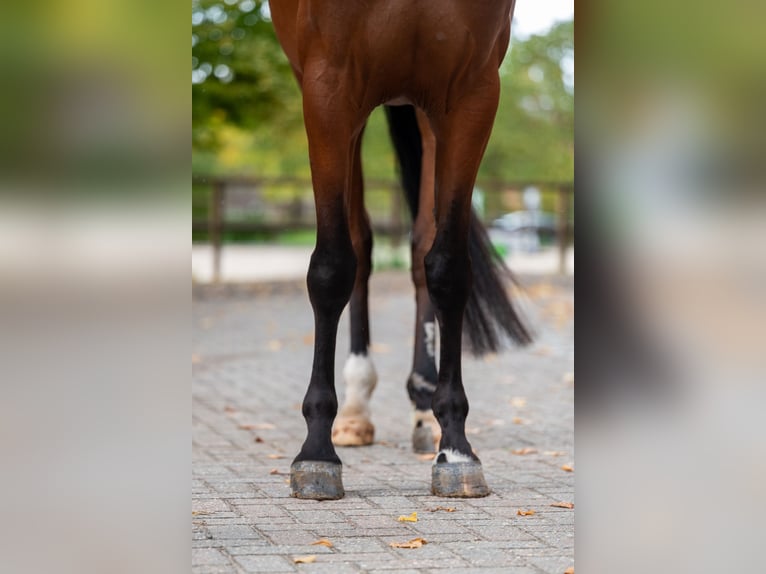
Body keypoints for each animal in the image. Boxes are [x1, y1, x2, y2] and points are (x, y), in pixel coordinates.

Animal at [271, 0, 530, 499]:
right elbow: (333, 267)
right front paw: (316, 452)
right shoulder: (328, 86)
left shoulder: (471, 92)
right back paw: (353, 409)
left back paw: (424, 405)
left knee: (421, 246)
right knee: (358, 245)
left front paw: (456, 448)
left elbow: (447, 267)